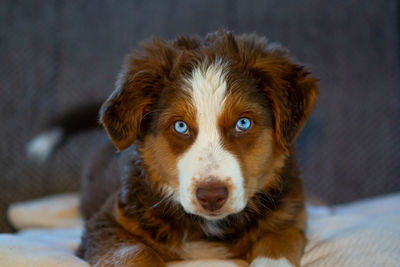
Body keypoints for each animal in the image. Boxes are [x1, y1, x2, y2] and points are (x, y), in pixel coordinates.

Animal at [74, 30, 318, 266]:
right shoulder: (106, 223)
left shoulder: (289, 216)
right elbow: (135, 252)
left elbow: (276, 243)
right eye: (180, 126)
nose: (211, 197)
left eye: (243, 123)